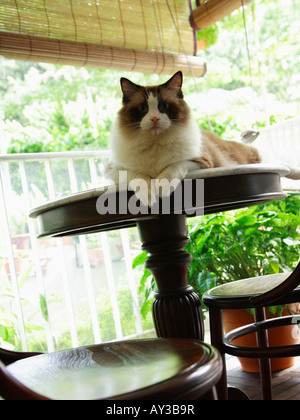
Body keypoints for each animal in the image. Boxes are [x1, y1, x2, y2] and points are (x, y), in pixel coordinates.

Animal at [106, 71, 262, 206]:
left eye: (163, 106)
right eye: (143, 108)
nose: (155, 118)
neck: (155, 143)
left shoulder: (201, 161)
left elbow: (173, 167)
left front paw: (161, 188)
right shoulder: (113, 169)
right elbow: (138, 176)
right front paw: (149, 197)